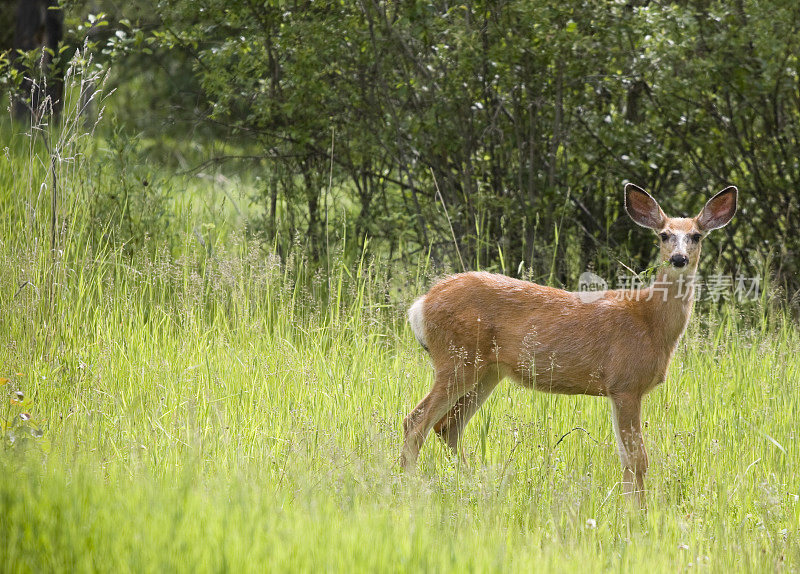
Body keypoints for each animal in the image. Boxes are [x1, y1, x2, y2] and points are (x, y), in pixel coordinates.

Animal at [406, 183, 736, 504]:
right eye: (664, 235)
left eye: (696, 235)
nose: (678, 259)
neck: (649, 321)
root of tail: (421, 305)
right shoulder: (625, 384)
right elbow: (637, 459)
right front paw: (638, 513)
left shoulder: (619, 390)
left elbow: (626, 458)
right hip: (456, 359)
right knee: (416, 422)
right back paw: (407, 483)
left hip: (488, 371)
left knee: (448, 426)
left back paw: (475, 484)